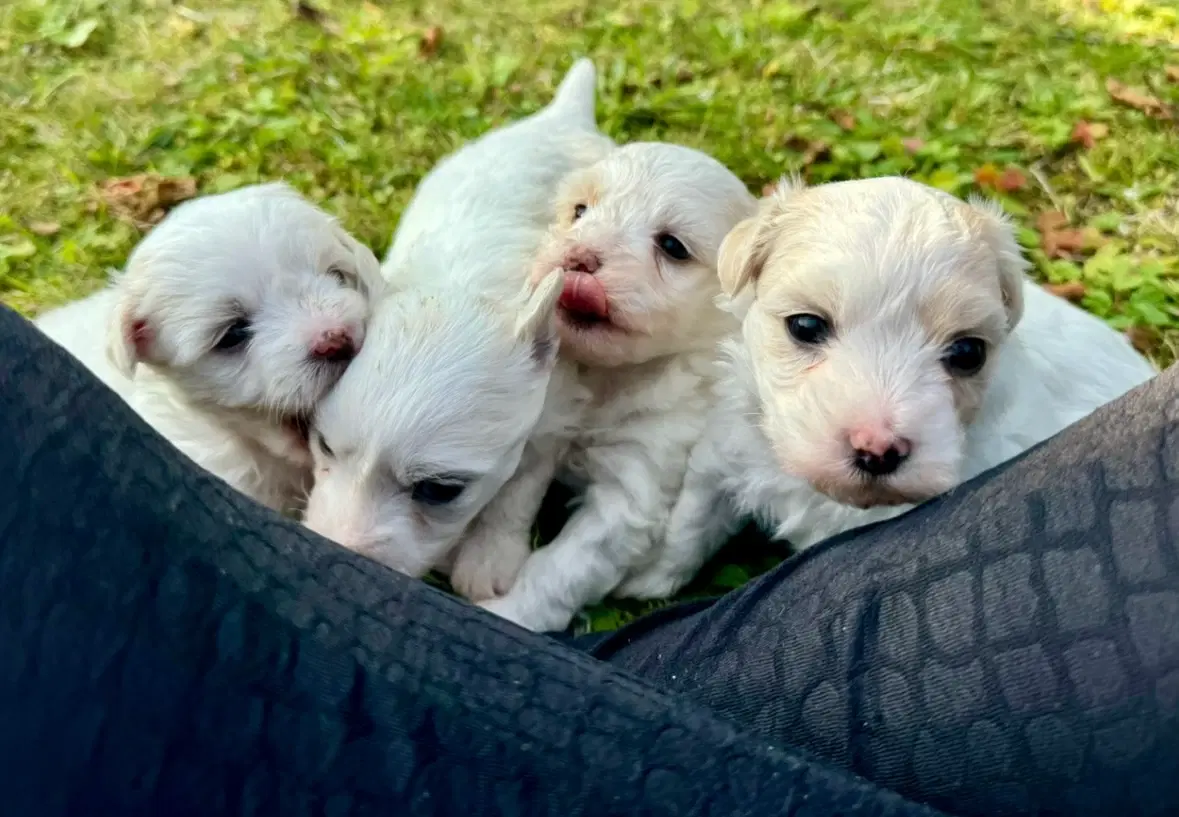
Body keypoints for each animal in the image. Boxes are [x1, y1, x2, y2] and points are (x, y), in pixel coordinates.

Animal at [299, 57, 613, 580]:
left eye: (439, 490)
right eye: (322, 445)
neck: (462, 290)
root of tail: (563, 115)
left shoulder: (554, 413)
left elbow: (519, 486)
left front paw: (489, 559)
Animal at [473, 142, 759, 631]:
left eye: (672, 246)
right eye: (580, 211)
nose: (578, 258)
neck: (606, 378)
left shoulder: (633, 486)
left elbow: (562, 568)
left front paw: (510, 615)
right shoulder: (545, 422)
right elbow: (511, 494)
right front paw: (489, 560)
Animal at [627, 172, 1160, 596]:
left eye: (968, 353)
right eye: (805, 325)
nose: (878, 449)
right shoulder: (724, 450)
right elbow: (689, 525)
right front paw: (644, 581)